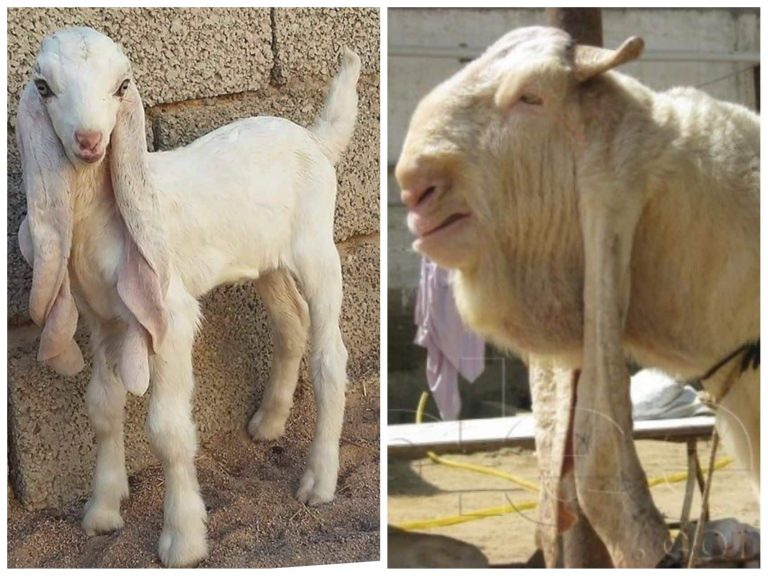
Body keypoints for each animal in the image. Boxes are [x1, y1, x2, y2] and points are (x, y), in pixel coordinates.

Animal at [16, 26, 360, 567]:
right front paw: (102, 511)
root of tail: (314, 138)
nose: (90, 142)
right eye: (44, 87)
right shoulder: (103, 319)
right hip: (265, 259)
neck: (103, 216)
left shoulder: (170, 316)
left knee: (330, 355)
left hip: (317, 249)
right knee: (291, 324)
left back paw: (318, 481)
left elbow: (168, 430)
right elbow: (102, 408)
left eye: (122, 86)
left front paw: (182, 540)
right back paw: (269, 423)